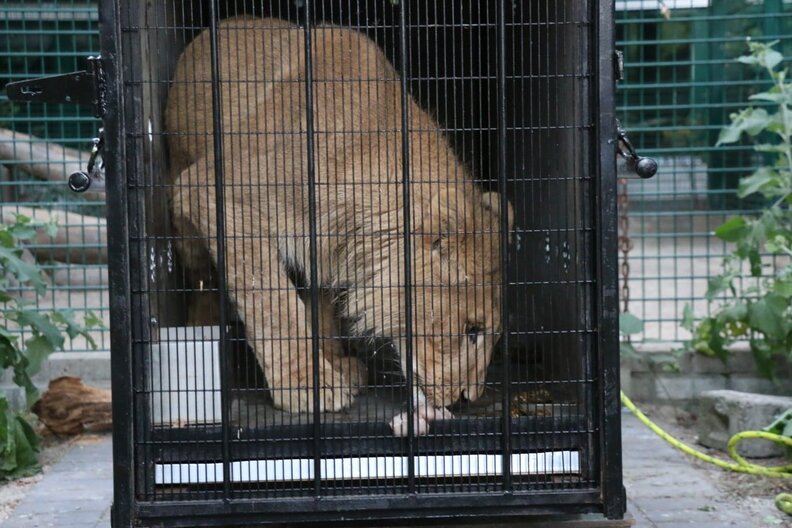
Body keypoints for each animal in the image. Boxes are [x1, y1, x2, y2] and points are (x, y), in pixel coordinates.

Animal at [165, 16, 512, 428]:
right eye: (472, 331)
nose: (465, 400)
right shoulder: (216, 191)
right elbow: (271, 301)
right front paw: (306, 385)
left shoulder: (327, 243)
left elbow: (319, 308)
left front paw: (332, 363)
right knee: (203, 286)